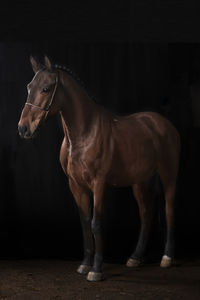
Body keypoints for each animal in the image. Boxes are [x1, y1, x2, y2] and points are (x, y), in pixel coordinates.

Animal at [18, 55, 181, 282]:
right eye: (28, 86)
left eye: (46, 88)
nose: (23, 128)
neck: (84, 133)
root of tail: (162, 123)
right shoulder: (76, 185)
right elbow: (85, 222)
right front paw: (85, 264)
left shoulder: (99, 184)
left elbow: (96, 223)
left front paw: (96, 269)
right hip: (139, 182)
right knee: (146, 213)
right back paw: (135, 258)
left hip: (168, 175)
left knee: (169, 210)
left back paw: (167, 257)